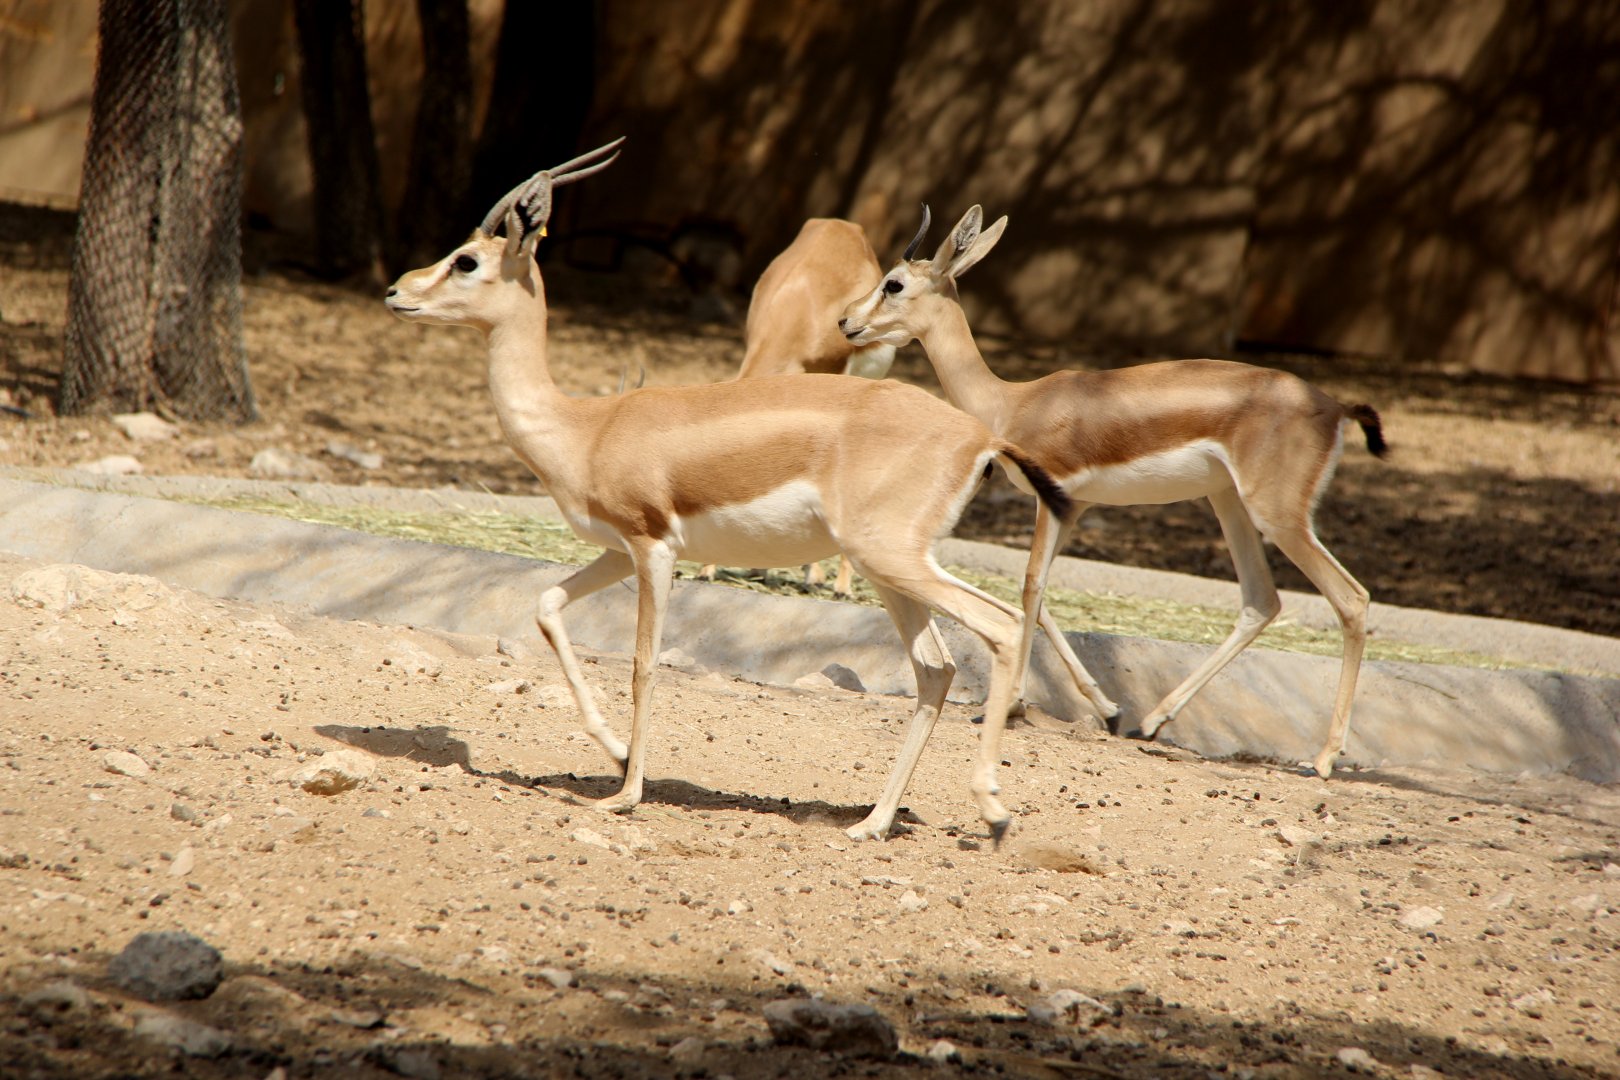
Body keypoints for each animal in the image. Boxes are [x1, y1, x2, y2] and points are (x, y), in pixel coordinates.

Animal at [840, 206, 1388, 779]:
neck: (1013, 403)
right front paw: (1104, 708)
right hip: (1229, 503)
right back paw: (1152, 720)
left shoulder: (1053, 503)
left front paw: (1018, 704)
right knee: (1262, 600)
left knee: (1351, 598)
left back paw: (1323, 758)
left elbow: (1031, 586)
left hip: (1277, 516)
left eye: (894, 283)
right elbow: (1040, 595)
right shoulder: (1073, 508)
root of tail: (1333, 405)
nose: (846, 322)